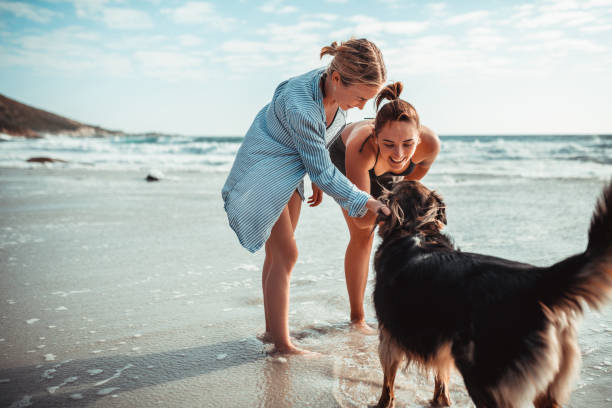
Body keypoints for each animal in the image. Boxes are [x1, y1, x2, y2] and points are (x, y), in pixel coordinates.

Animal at [372, 182, 612, 408]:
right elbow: (442, 377)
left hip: (484, 376)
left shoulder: (388, 336)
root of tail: (538, 279)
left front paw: (383, 403)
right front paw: (441, 400)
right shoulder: (439, 346)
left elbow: (388, 380)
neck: (416, 229)